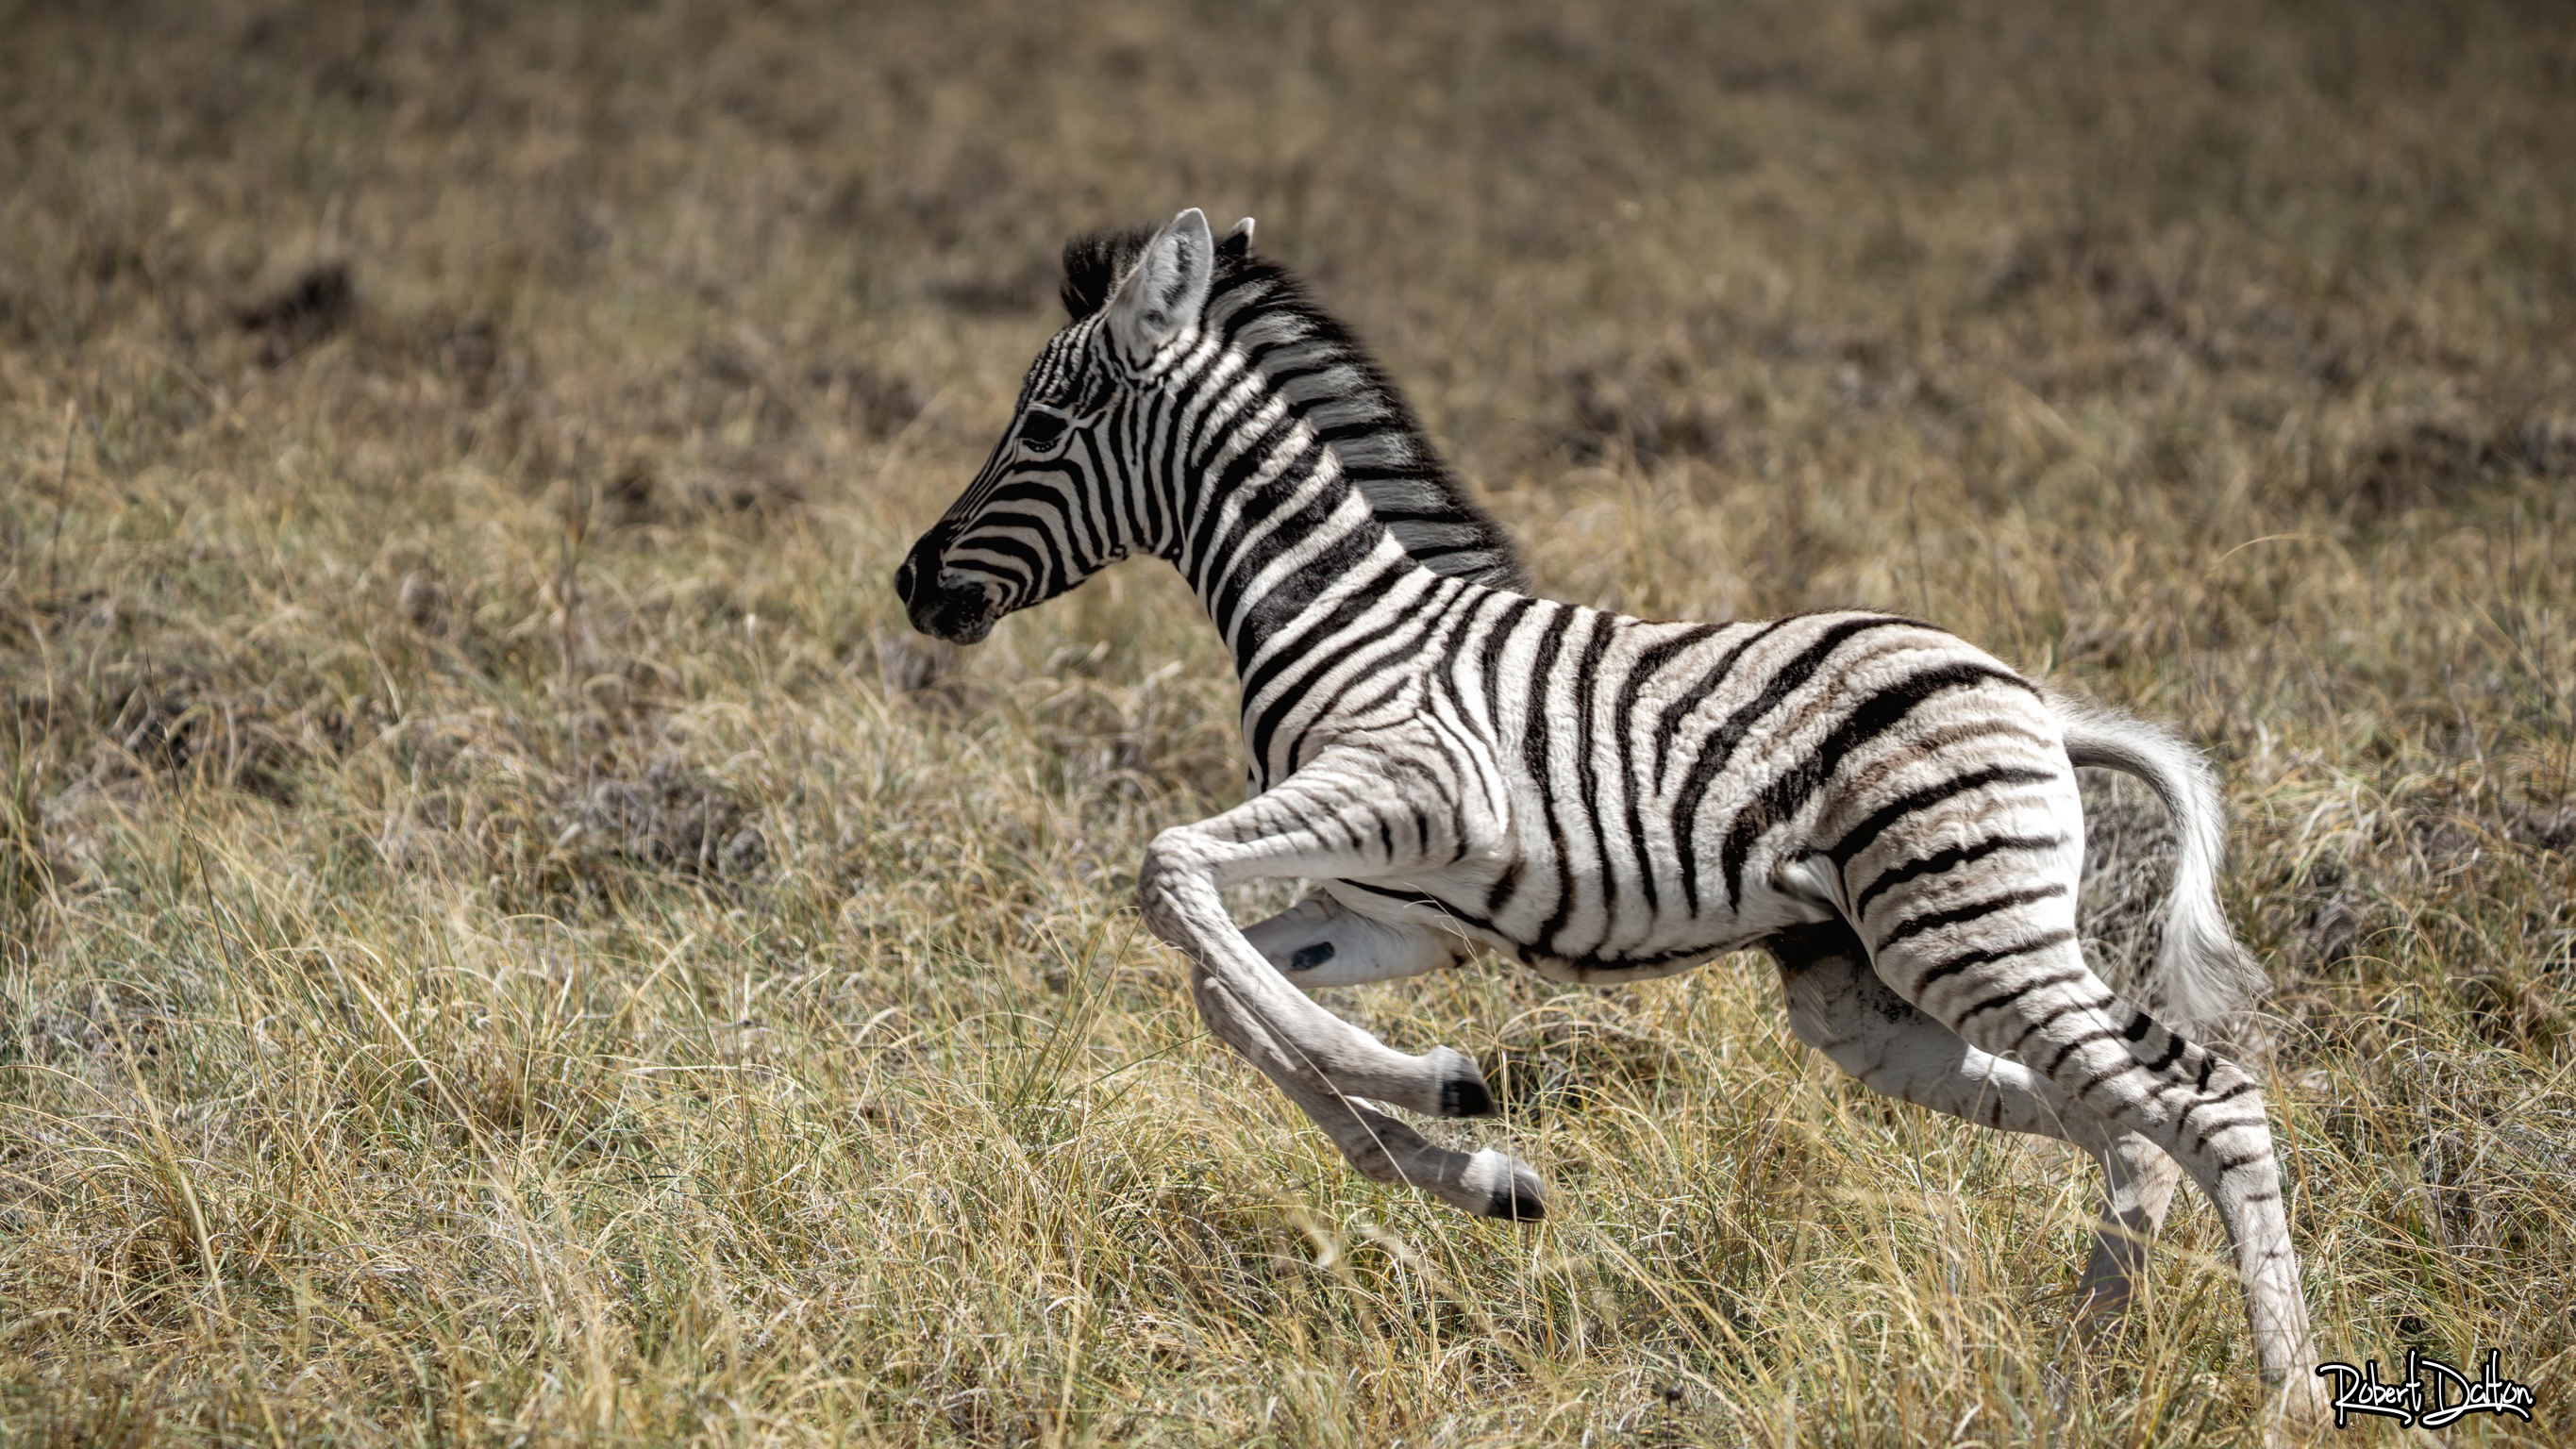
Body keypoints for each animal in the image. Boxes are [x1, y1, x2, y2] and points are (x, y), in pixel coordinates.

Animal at [897, 208, 2323, 1421]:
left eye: (1043, 425)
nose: (914, 582)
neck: (1332, 611)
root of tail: (2035, 700)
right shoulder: (1396, 913)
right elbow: (1221, 990)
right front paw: (1476, 1169)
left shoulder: (1423, 792)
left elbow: (1171, 874)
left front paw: (1436, 1083)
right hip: (1866, 993)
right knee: (2126, 1135)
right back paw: (2070, 1376)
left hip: (1968, 935)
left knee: (2210, 1101)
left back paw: (2287, 1400)